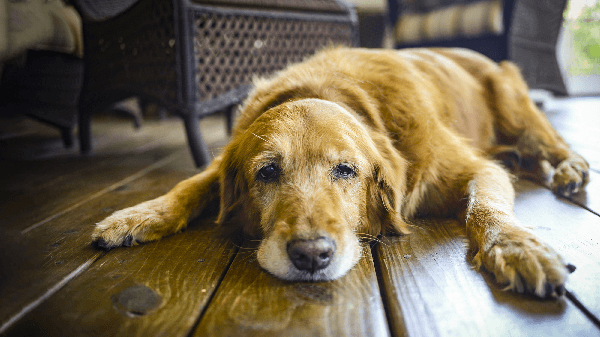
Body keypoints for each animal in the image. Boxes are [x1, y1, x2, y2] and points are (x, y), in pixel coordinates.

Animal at [91, 46, 588, 296]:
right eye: (266, 173)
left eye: (346, 170)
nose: (311, 256)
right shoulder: (223, 161)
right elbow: (189, 184)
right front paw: (136, 216)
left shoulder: (476, 168)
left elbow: (486, 208)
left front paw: (517, 248)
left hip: (514, 103)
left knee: (550, 142)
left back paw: (570, 168)